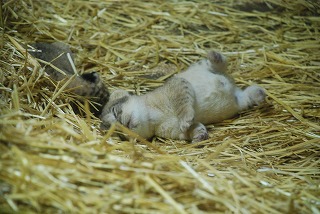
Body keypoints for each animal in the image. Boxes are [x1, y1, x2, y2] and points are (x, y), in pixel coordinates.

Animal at [100, 51, 264, 143]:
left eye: (115, 111)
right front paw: (199, 136)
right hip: (240, 102)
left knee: (218, 64)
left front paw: (185, 119)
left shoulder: (177, 84)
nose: (123, 125)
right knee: (246, 96)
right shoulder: (175, 132)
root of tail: (232, 87)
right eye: (119, 135)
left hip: (201, 67)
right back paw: (259, 93)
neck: (152, 116)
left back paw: (214, 56)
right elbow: (193, 128)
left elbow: (182, 103)